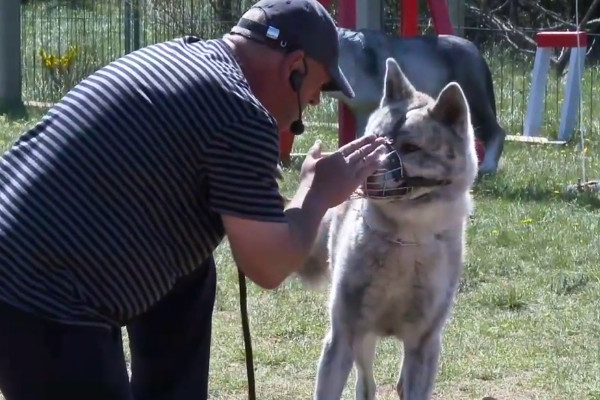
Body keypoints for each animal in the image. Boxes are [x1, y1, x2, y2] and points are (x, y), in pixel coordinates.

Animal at [296, 57, 478, 398]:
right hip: (362, 343)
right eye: (375, 141)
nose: (363, 174)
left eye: (411, 147)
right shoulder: (343, 336)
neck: (404, 237)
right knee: (366, 383)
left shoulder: (424, 344)